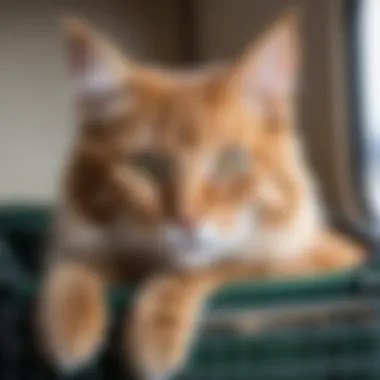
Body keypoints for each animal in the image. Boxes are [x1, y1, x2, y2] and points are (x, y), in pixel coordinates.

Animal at [37, 11, 364, 380]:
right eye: (148, 165)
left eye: (229, 161)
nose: (186, 220)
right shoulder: (82, 241)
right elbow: (77, 262)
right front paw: (70, 323)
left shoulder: (302, 262)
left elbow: (213, 266)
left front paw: (154, 338)